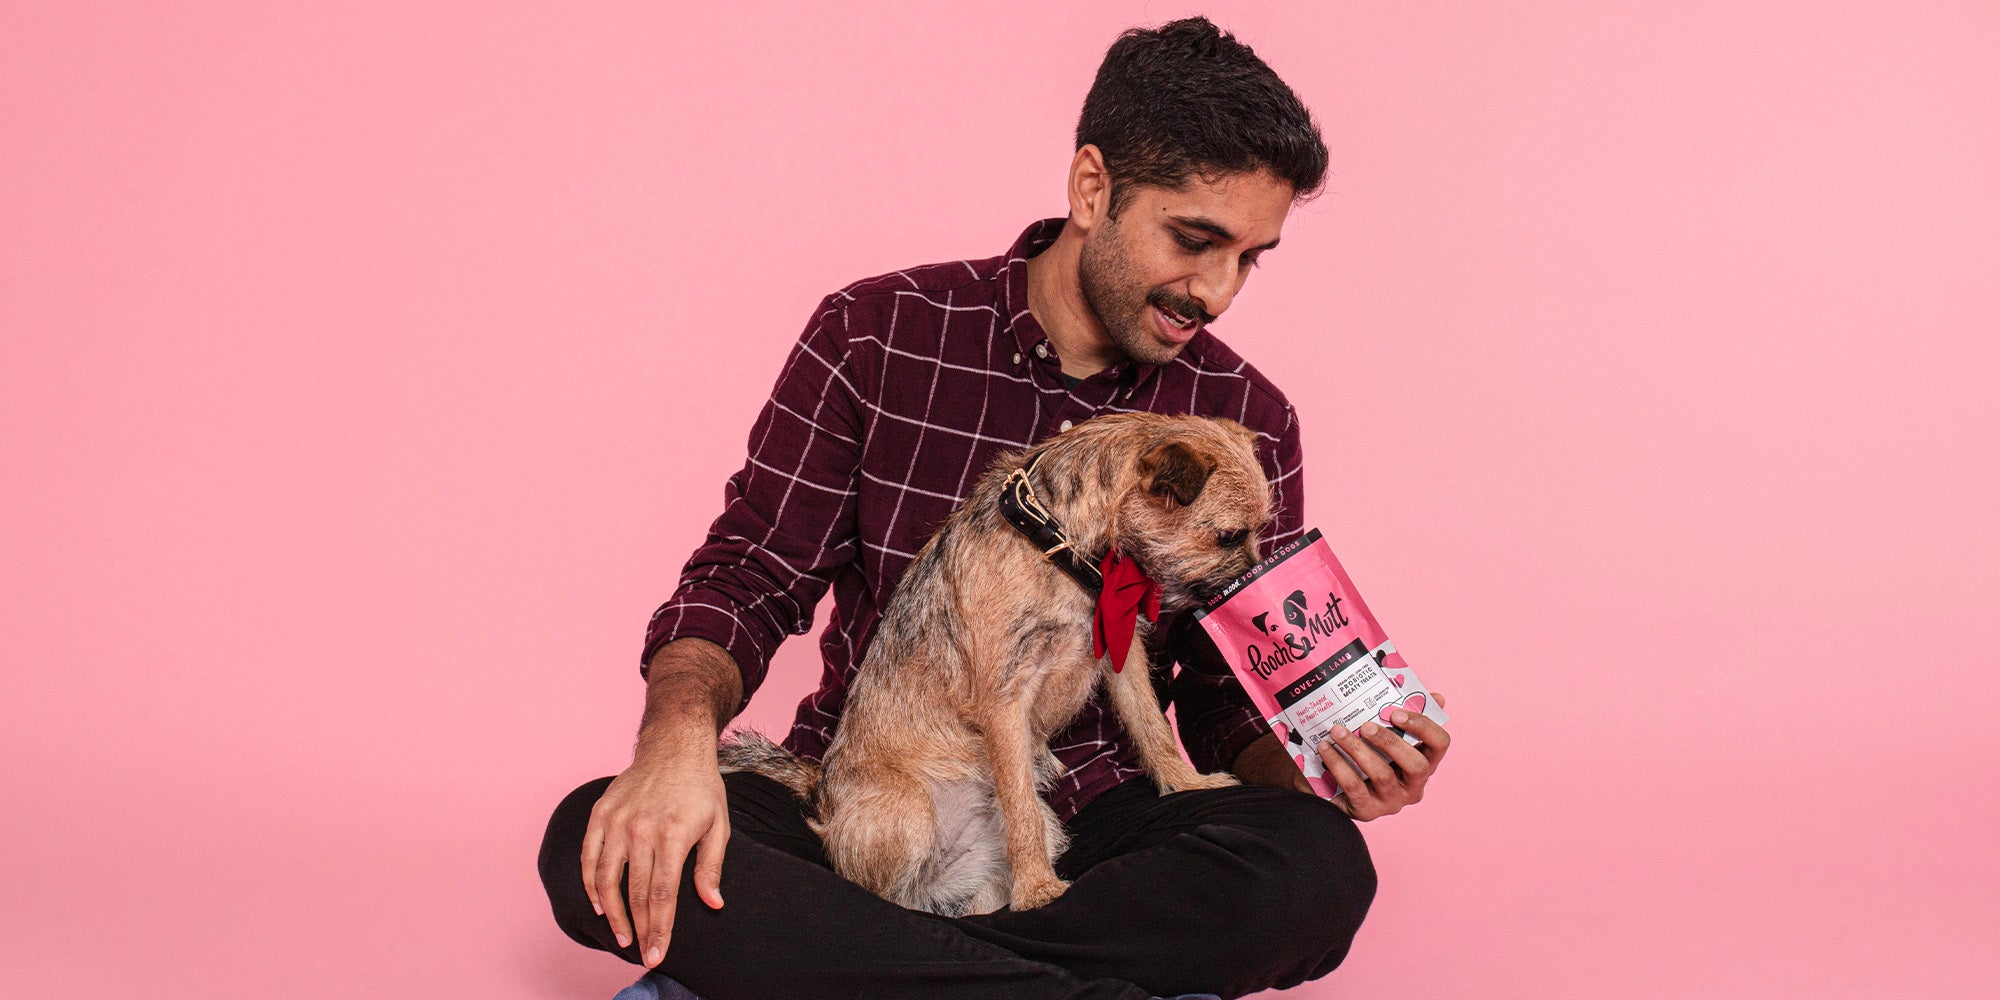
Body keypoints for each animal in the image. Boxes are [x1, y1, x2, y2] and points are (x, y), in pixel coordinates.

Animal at [728, 412, 1272, 916]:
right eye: (1228, 536)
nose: (1250, 584)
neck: (1058, 542)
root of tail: (819, 788)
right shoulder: (1006, 702)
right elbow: (1020, 805)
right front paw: (1039, 890)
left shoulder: (1123, 656)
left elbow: (1150, 726)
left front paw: (1188, 784)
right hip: (908, 815)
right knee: (890, 897)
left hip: (1014, 849)